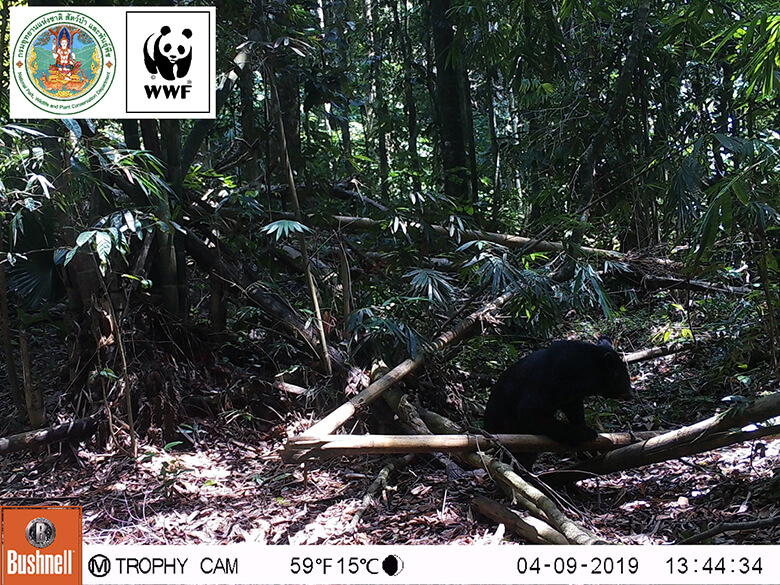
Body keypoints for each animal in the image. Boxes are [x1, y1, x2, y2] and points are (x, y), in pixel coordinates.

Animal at [482, 338, 632, 470]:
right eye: (624, 379)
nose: (631, 394)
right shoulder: (546, 384)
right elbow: (529, 412)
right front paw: (579, 434)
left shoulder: (569, 394)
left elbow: (573, 408)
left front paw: (586, 429)